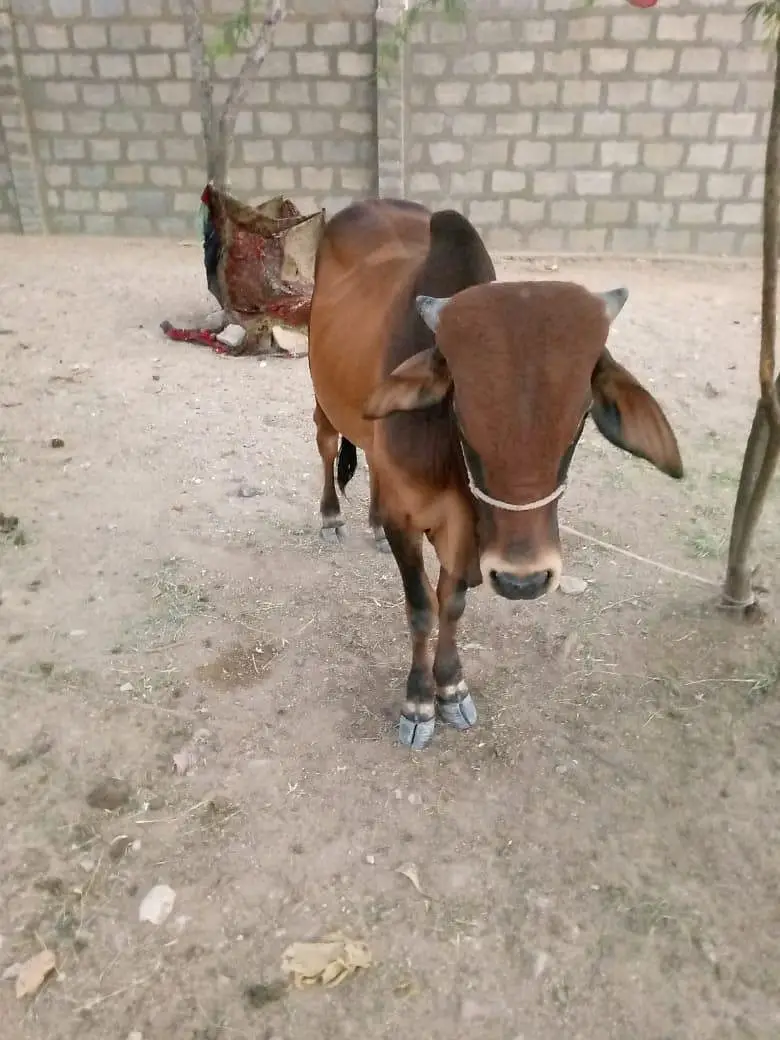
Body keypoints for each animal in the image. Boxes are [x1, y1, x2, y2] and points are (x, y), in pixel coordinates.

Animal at [307, 198, 683, 750]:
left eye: (581, 417)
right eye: (461, 413)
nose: (523, 580)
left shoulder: (467, 534)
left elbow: (453, 603)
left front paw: (451, 688)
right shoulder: (408, 519)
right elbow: (421, 607)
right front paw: (418, 702)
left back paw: (370, 524)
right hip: (321, 393)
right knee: (328, 445)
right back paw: (332, 517)